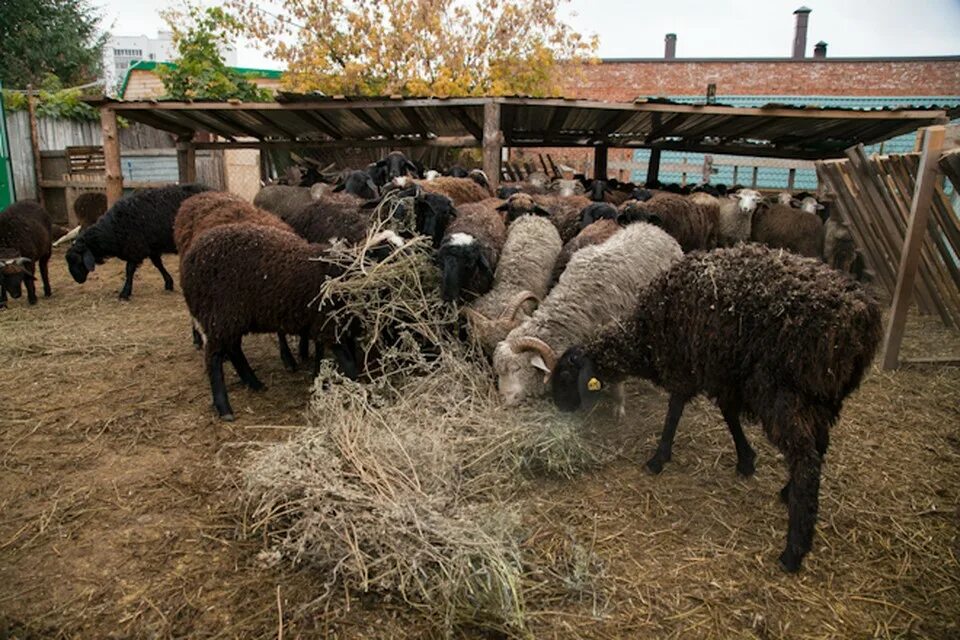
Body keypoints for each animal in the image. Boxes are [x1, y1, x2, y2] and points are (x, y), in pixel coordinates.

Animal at [67, 182, 210, 298]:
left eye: (78, 260)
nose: (77, 279)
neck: (114, 228)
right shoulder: (151, 247)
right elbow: (158, 264)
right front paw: (168, 283)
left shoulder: (134, 248)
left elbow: (129, 270)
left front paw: (125, 292)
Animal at [179, 222, 348, 422]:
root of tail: (190, 258)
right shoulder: (329, 325)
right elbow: (346, 359)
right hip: (219, 316)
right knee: (214, 357)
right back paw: (224, 407)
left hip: (233, 319)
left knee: (233, 349)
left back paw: (254, 383)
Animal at [496, 222, 684, 408]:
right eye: (500, 371)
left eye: (517, 369)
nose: (503, 399)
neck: (574, 303)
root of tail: (657, 229)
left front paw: (618, 405)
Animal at [552, 242, 880, 572]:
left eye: (565, 375)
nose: (557, 406)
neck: (644, 338)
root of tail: (861, 318)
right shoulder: (723, 373)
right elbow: (729, 415)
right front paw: (746, 460)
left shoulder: (684, 364)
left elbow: (674, 412)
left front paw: (658, 459)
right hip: (820, 399)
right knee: (818, 447)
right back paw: (788, 493)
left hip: (783, 393)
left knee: (806, 461)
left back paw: (793, 551)